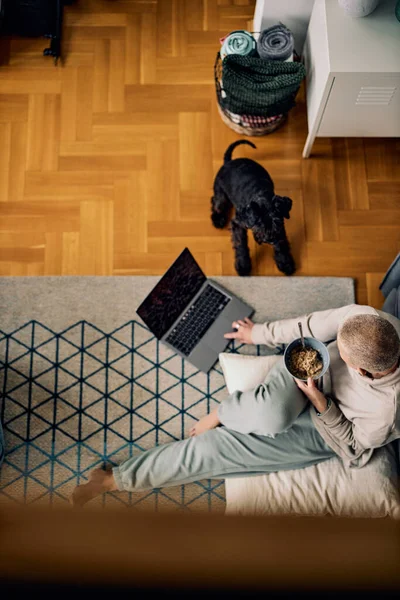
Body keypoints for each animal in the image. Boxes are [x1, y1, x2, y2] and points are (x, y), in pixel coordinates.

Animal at [211, 140, 296, 276]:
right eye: (259, 223)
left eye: (277, 221)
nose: (270, 239)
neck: (261, 195)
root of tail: (228, 161)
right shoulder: (238, 224)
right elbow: (241, 244)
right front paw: (243, 266)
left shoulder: (281, 228)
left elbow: (282, 244)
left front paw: (285, 263)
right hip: (220, 192)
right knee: (217, 202)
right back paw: (218, 219)